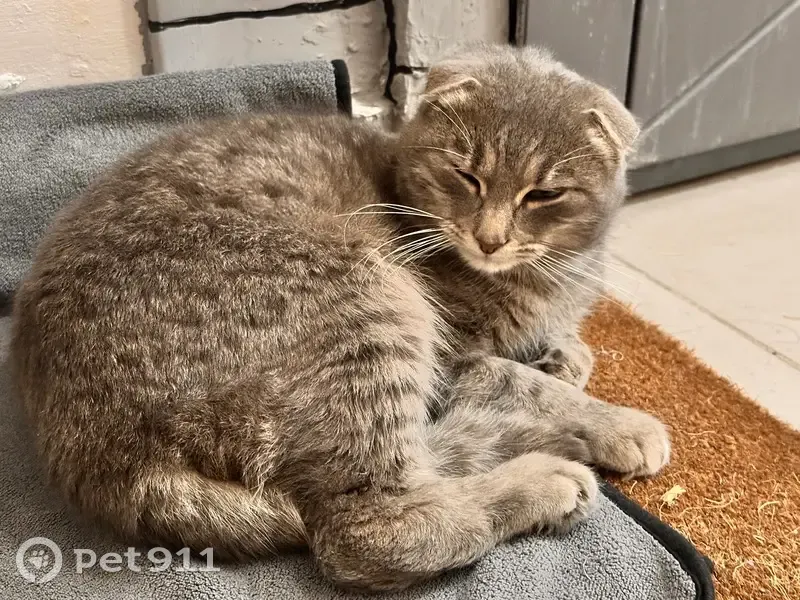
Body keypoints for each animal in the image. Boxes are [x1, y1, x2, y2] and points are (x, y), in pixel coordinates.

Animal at [10, 44, 669, 591]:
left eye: (544, 195)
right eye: (466, 175)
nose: (490, 239)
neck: (541, 276)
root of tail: (109, 464)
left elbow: (566, 351)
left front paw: (565, 356)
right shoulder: (456, 360)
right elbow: (524, 381)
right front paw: (620, 422)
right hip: (369, 306)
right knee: (372, 531)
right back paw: (544, 478)